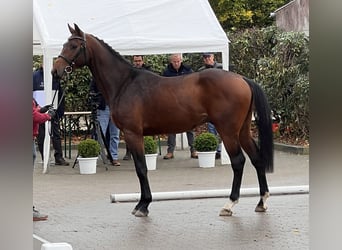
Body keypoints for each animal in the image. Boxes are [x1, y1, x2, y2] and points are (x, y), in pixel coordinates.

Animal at [51, 23, 276, 217]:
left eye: (73, 46)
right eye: (64, 44)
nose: (55, 70)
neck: (125, 83)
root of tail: (242, 79)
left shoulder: (133, 134)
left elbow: (141, 168)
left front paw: (143, 205)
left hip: (228, 132)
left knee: (238, 162)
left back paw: (229, 204)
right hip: (243, 131)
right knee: (256, 159)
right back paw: (262, 202)